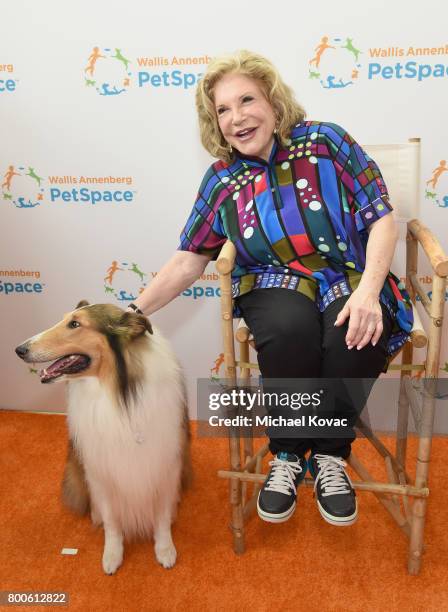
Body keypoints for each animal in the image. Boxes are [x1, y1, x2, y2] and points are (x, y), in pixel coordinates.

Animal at [14, 302, 191, 572]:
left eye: (75, 324)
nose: (19, 350)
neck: (113, 391)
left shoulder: (165, 464)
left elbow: (161, 515)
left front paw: (165, 549)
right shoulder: (101, 470)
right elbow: (111, 520)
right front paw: (112, 554)